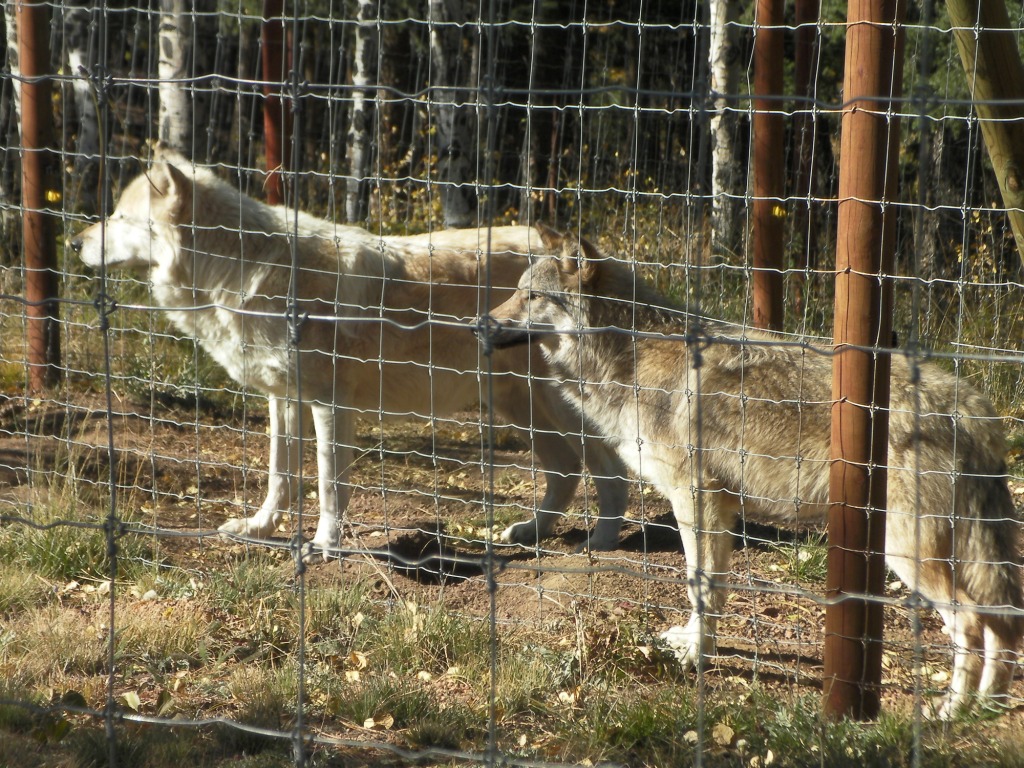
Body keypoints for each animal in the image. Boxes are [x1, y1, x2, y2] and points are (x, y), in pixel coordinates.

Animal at [69, 148, 629, 557]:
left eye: (118, 216)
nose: (74, 243)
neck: (244, 269)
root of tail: (601, 261)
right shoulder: (283, 400)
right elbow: (280, 476)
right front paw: (259, 529)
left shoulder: (327, 404)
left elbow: (327, 484)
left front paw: (323, 545)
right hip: (517, 405)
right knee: (565, 470)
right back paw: (529, 533)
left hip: (560, 407)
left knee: (610, 471)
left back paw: (601, 541)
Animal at [481, 225, 1023, 716]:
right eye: (515, 291)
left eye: (530, 296)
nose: (480, 324)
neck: (629, 355)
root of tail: (972, 409)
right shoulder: (718, 505)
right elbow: (713, 586)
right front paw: (695, 643)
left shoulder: (693, 496)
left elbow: (700, 584)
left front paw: (695, 655)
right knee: (1003, 624)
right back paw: (987, 707)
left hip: (907, 553)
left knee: (971, 624)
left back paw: (952, 711)